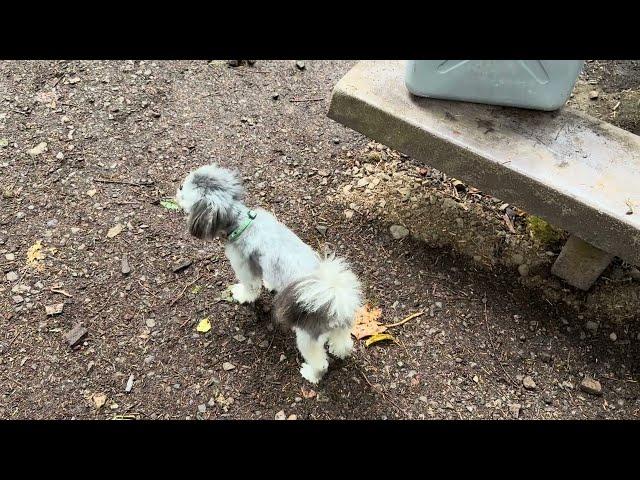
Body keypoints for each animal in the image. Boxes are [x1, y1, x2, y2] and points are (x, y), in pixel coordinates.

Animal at [175, 164, 362, 382]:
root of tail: (334, 295)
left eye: (183, 189)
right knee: (344, 343)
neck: (241, 222)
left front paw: (242, 295)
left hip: (307, 337)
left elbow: (250, 287)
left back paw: (310, 374)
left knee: (320, 363)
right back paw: (339, 350)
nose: (177, 188)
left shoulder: (244, 266)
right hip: (341, 327)